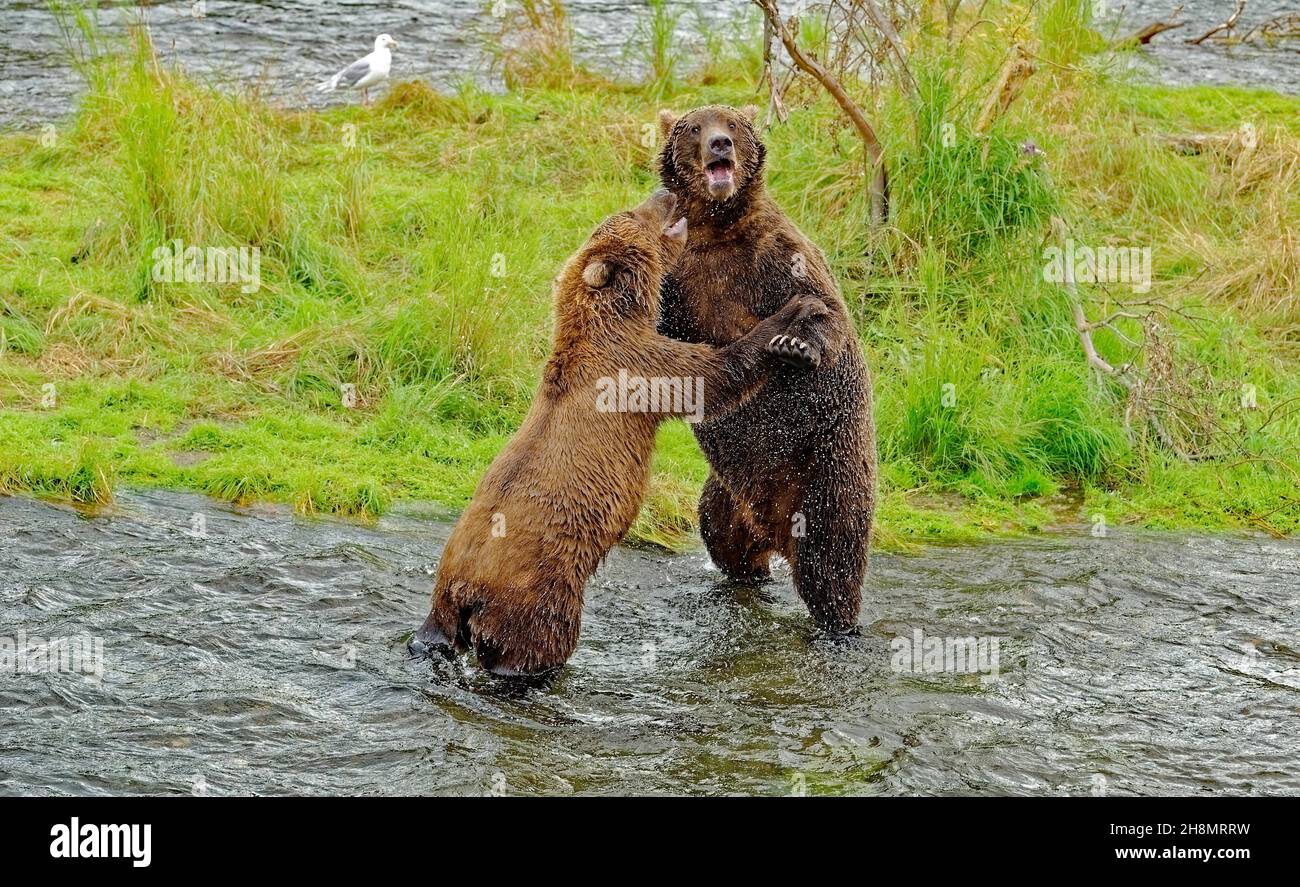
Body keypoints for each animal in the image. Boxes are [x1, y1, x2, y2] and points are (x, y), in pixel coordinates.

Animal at [408, 185, 821, 671]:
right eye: (635, 214)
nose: (663, 192)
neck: (608, 318)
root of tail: (462, 591)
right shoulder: (640, 367)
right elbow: (712, 375)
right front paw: (791, 318)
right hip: (539, 596)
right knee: (536, 643)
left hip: (449, 594)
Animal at [655, 103, 878, 632]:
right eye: (695, 127)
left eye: (733, 125)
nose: (720, 144)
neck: (716, 227)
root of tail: (774, 532)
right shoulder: (684, 275)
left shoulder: (776, 256)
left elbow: (823, 308)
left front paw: (795, 344)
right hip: (727, 494)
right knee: (722, 537)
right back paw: (745, 578)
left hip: (826, 475)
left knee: (831, 564)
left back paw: (839, 627)